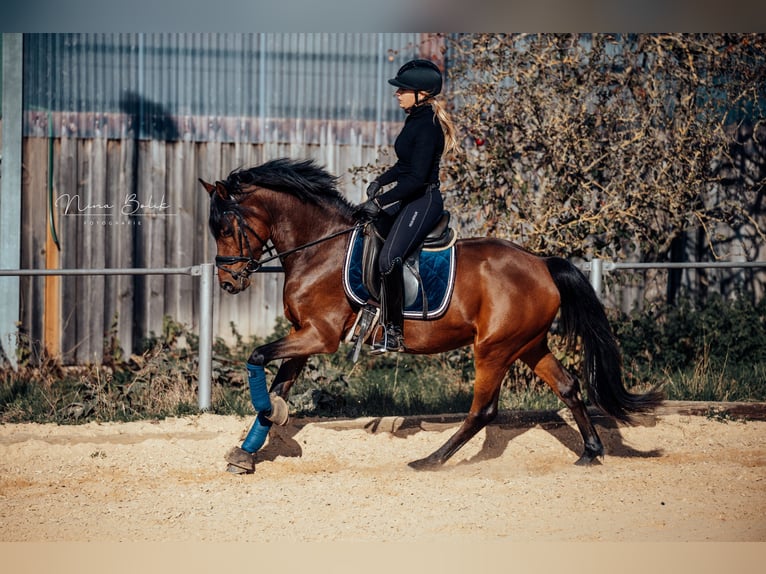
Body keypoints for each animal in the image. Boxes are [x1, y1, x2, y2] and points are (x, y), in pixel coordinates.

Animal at [199, 157, 663, 473]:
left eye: (225, 227)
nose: (228, 282)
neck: (319, 248)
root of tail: (542, 263)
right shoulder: (304, 334)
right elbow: (278, 382)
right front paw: (247, 450)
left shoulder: (319, 335)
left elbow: (257, 357)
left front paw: (263, 425)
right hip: (528, 344)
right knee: (567, 386)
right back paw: (590, 452)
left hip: (493, 348)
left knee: (484, 411)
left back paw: (431, 460)